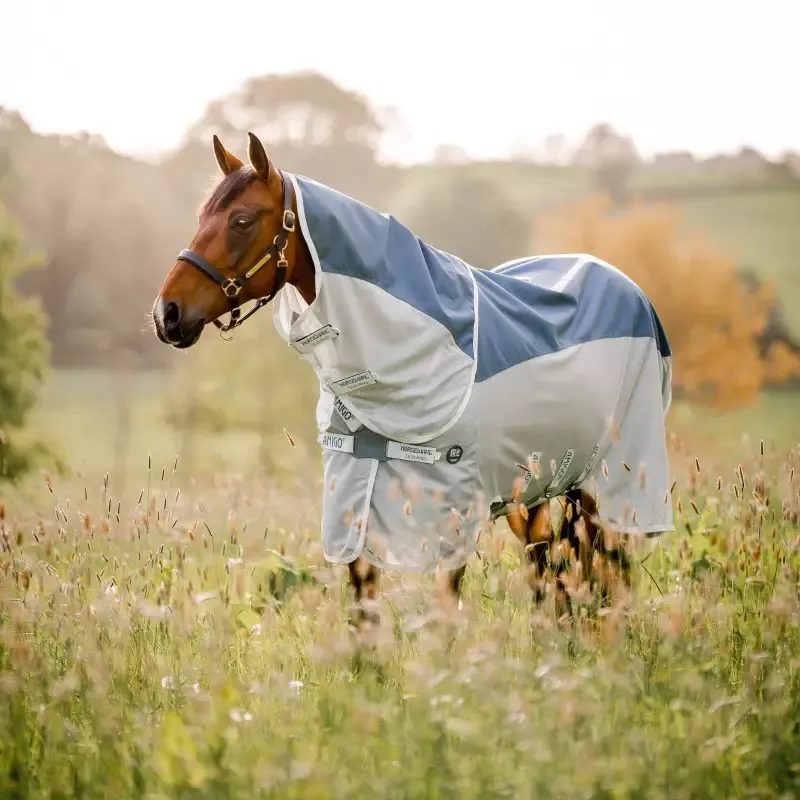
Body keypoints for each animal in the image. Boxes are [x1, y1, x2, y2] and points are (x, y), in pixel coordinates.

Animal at [153, 132, 674, 625]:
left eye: (241, 220)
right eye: (203, 215)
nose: (167, 314)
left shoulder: (451, 511)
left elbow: (445, 611)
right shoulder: (354, 502)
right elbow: (364, 611)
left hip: (607, 491)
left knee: (607, 576)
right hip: (538, 494)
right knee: (553, 580)